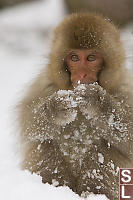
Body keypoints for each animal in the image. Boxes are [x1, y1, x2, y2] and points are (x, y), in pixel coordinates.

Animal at [17, 13, 133, 199]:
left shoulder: (125, 89)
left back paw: (93, 192)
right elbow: (29, 126)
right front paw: (56, 109)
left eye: (91, 58)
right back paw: (53, 186)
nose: (82, 74)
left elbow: (128, 134)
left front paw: (96, 102)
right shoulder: (45, 85)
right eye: (74, 58)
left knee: (104, 148)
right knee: (47, 144)